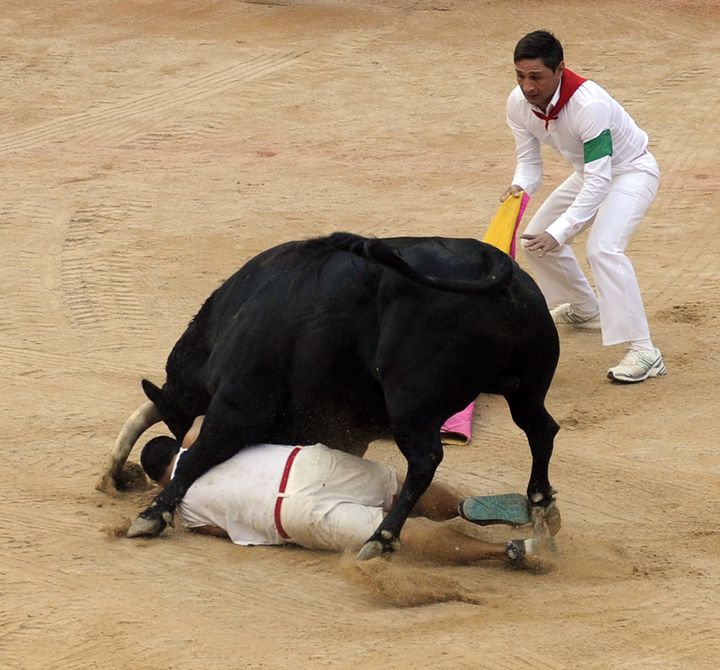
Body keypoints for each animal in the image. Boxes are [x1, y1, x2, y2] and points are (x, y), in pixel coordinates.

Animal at [101, 234, 564, 560]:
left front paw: (149, 517)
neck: (230, 322)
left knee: (426, 458)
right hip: (527, 387)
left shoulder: (239, 407)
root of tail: (489, 265)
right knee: (540, 429)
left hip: (410, 403)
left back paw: (382, 538)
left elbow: (197, 457)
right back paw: (539, 506)